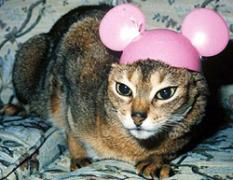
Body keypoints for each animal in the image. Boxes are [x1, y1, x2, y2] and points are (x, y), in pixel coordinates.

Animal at [10, 4, 208, 179]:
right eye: (123, 89)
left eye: (166, 93)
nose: (137, 117)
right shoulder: (72, 61)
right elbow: (70, 126)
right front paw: (79, 156)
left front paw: (155, 162)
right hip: (30, 55)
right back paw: (16, 108)